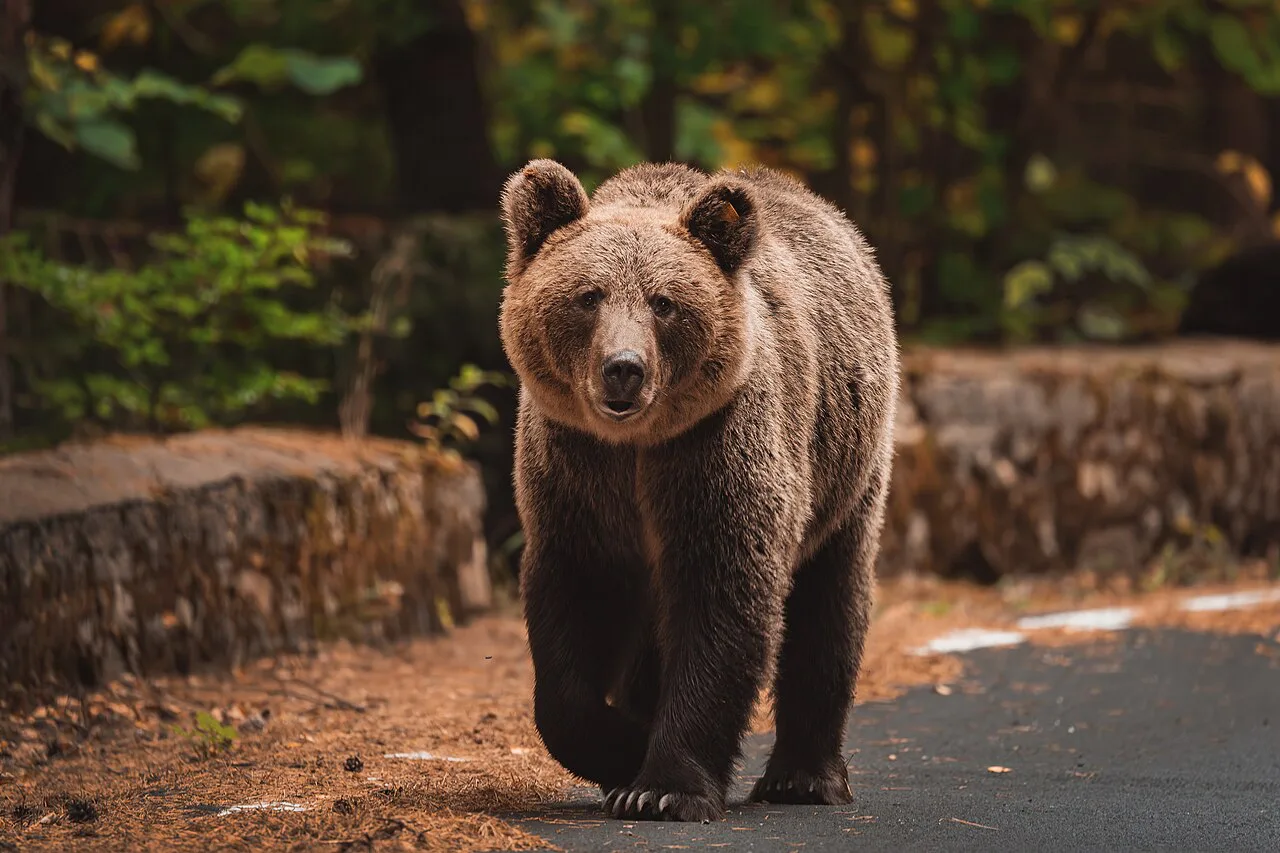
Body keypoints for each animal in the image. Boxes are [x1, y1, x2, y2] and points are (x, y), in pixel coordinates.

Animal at [497, 159, 900, 823]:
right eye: (589, 296)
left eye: (664, 303)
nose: (624, 368)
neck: (635, 446)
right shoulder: (577, 474)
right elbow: (573, 620)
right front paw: (622, 750)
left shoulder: (713, 452)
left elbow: (722, 600)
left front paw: (662, 786)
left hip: (848, 469)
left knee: (830, 606)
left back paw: (804, 776)